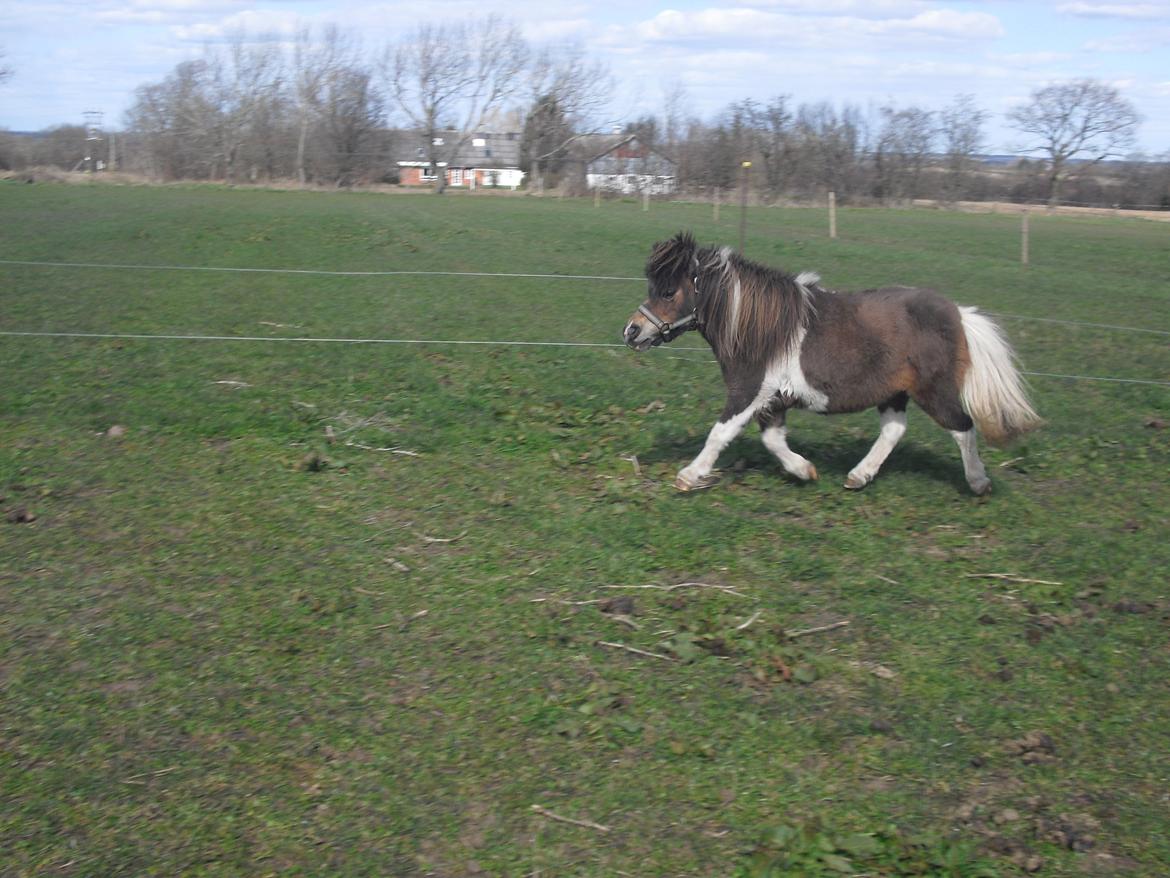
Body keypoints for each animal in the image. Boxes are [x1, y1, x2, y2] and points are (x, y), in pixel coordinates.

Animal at [622, 234, 1043, 496]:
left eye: (668, 291)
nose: (631, 331)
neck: (758, 328)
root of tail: (957, 314)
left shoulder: (748, 391)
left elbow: (719, 434)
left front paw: (689, 476)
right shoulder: (773, 400)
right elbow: (773, 440)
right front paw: (804, 470)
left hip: (934, 391)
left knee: (963, 428)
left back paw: (978, 483)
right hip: (894, 392)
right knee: (894, 429)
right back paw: (858, 476)